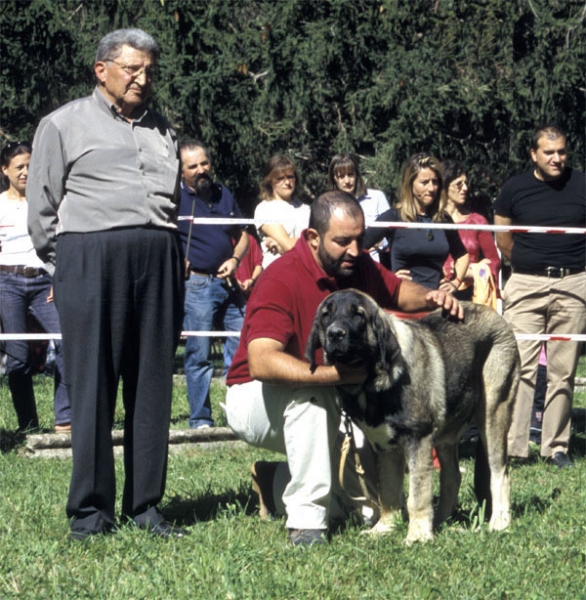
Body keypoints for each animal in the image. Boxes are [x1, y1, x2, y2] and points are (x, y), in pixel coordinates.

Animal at [304, 290, 516, 544]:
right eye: (326, 315)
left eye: (358, 315)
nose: (335, 334)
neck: (371, 383)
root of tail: (495, 314)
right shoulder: (385, 446)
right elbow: (387, 491)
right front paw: (383, 529)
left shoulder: (418, 439)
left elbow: (417, 495)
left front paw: (417, 536)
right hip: (446, 435)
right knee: (452, 476)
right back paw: (441, 521)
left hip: (492, 413)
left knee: (500, 472)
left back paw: (499, 522)